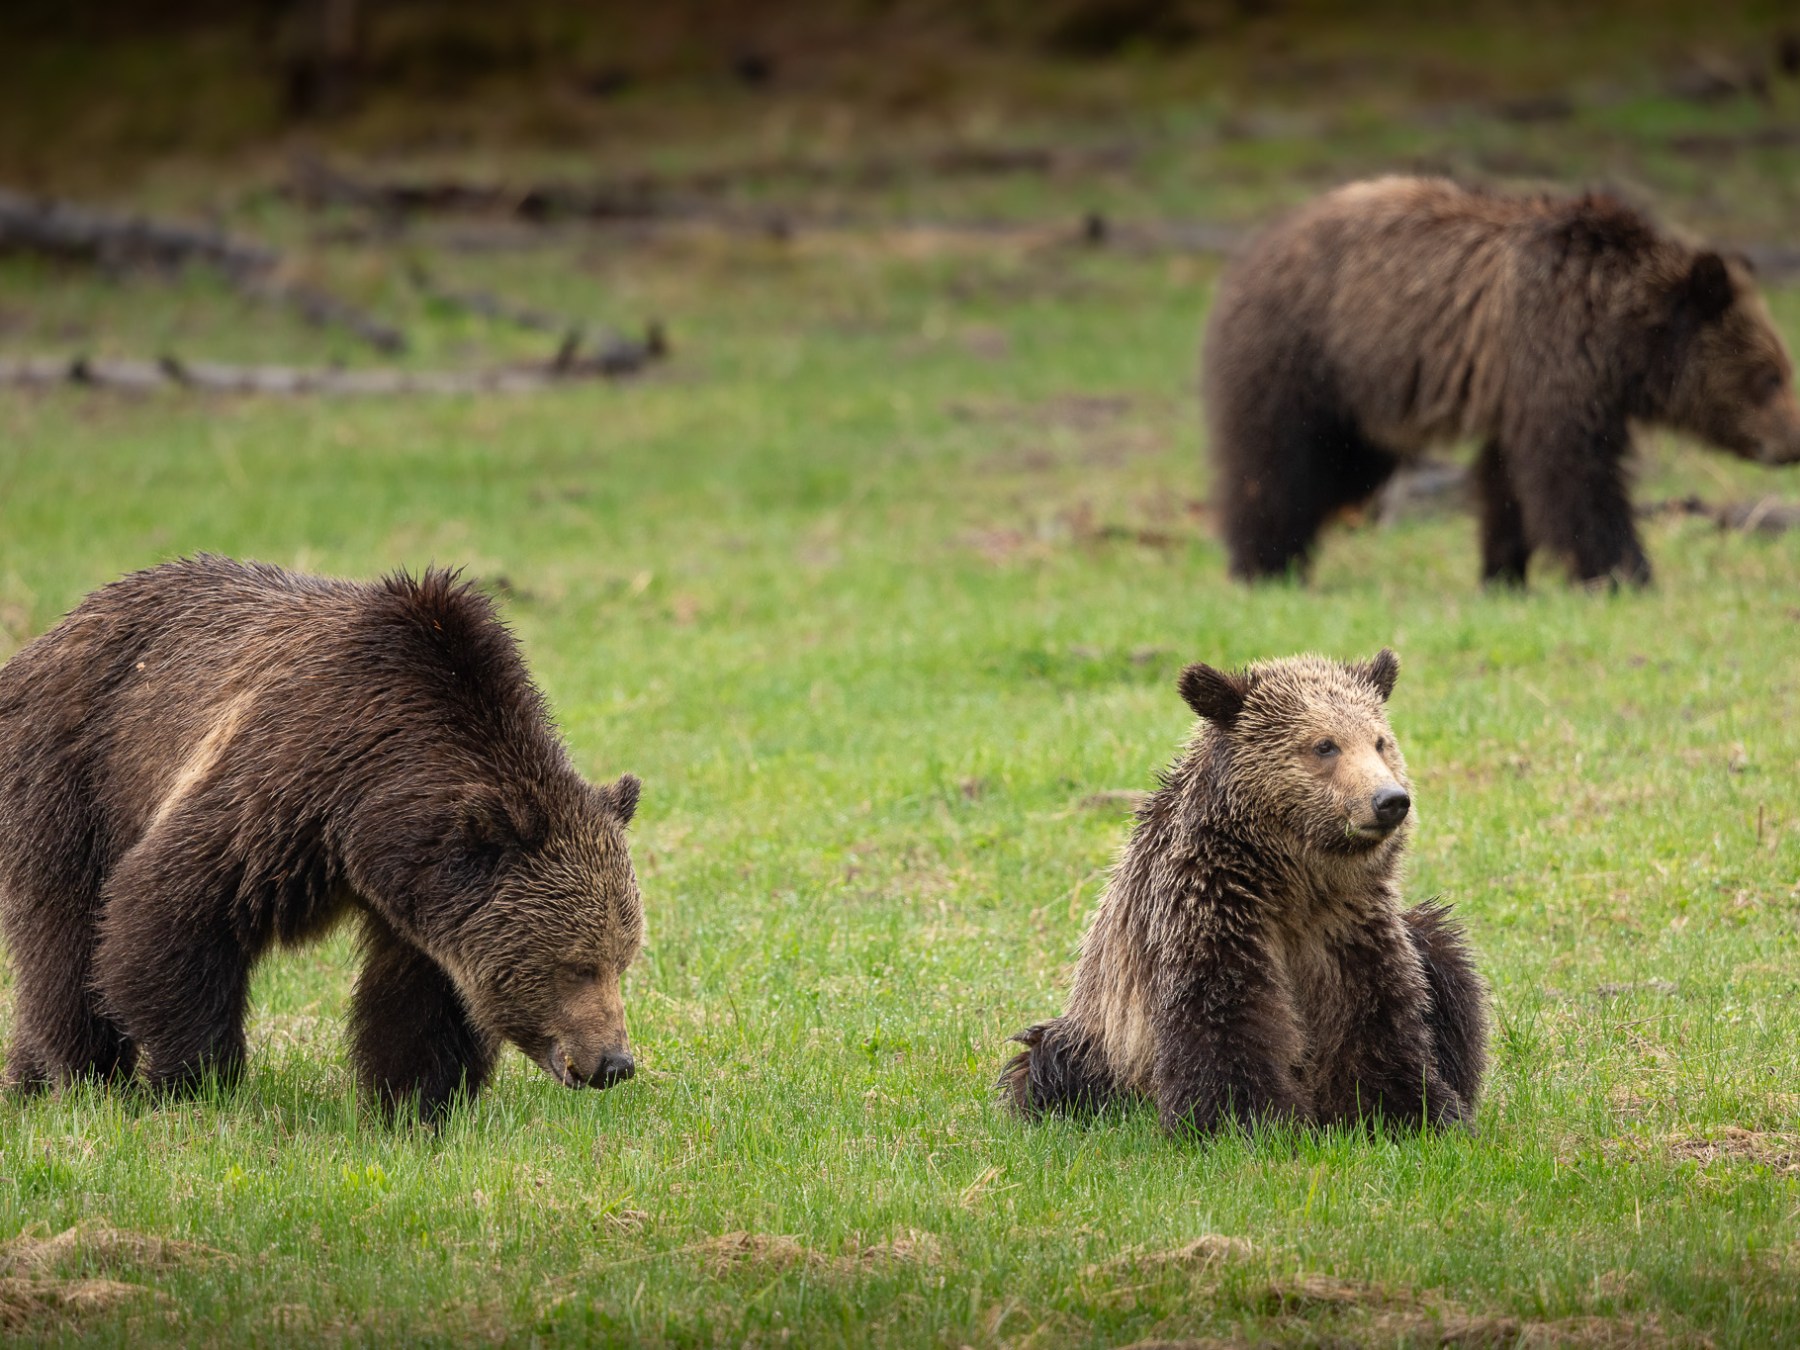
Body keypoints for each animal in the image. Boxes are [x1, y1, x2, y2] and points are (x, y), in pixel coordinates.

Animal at [0, 555, 644, 1120]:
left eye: (623, 960)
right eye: (577, 965)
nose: (613, 1063)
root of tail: (51, 634)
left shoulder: (423, 893)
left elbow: (423, 1000)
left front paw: (415, 1103)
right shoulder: (284, 785)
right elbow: (167, 910)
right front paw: (197, 1080)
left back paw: (27, 1081)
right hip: (77, 776)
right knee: (66, 936)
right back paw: (82, 1075)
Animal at [1000, 650, 1487, 1137]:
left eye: (1380, 741)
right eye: (1325, 745)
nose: (1390, 800)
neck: (1291, 878)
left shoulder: (1350, 926)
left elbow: (1380, 1020)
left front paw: (1417, 1114)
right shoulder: (1211, 918)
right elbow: (1228, 1027)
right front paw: (1250, 1123)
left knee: (1446, 962)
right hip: (1094, 1042)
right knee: (1049, 1068)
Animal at [1202, 176, 1800, 586]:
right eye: (1770, 376)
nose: (1792, 443)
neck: (1622, 337)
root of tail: (1256, 246)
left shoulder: (1523, 385)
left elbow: (1509, 479)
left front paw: (1505, 571)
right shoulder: (1553, 356)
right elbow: (1574, 476)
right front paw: (1626, 572)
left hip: (1361, 404)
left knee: (1344, 470)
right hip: (1307, 356)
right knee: (1277, 463)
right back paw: (1263, 564)